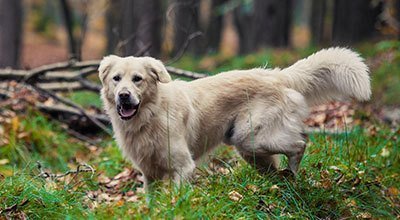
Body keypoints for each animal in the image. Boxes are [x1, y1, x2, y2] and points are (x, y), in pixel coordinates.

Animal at [98, 47, 370, 191]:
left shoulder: (183, 166)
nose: (123, 96)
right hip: (250, 149)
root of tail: (278, 75)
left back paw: (292, 174)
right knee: (276, 164)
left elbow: (175, 197)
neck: (151, 114)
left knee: (301, 141)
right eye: (116, 79)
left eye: (137, 79)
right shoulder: (149, 174)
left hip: (251, 138)